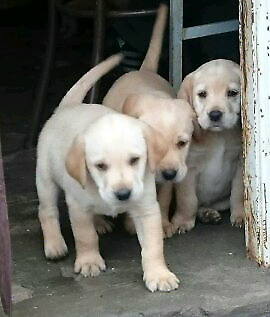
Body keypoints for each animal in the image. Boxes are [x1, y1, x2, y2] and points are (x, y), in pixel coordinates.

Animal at [35, 53, 179, 292]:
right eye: (100, 166)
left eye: (135, 160)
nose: (123, 194)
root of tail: (67, 107)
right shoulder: (78, 207)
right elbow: (85, 237)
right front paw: (89, 261)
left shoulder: (147, 207)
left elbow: (153, 246)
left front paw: (159, 275)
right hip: (45, 178)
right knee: (46, 211)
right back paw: (55, 245)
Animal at [103, 3, 194, 236]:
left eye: (182, 143)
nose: (169, 173)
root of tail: (143, 70)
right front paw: (131, 225)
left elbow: (164, 196)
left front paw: (164, 224)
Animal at [161, 59, 244, 233]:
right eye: (202, 94)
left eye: (233, 93)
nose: (215, 115)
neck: (219, 136)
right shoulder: (188, 169)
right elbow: (188, 200)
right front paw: (182, 221)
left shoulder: (240, 162)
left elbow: (238, 193)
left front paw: (241, 215)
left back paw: (207, 213)